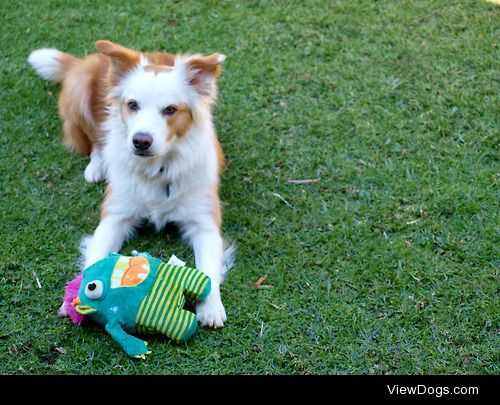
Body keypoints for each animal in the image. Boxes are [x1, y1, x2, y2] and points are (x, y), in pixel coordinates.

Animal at [29, 40, 234, 328]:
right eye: (133, 104)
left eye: (171, 109)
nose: (140, 141)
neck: (157, 169)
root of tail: (88, 60)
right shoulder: (114, 217)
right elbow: (96, 256)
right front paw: (75, 299)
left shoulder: (204, 223)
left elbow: (208, 269)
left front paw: (211, 307)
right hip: (79, 97)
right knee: (97, 141)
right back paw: (97, 166)